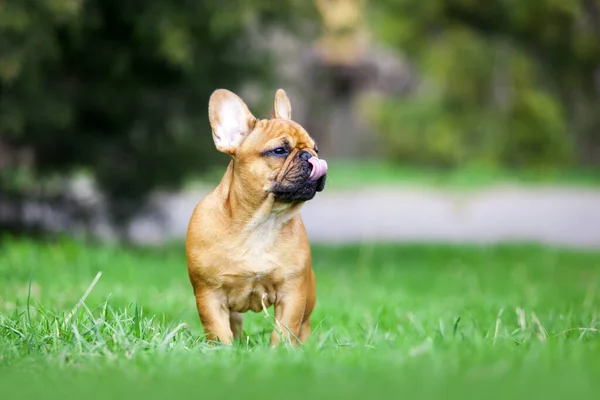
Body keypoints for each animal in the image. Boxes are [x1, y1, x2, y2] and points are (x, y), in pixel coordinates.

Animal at [186, 89, 328, 346]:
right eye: (280, 150)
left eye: (316, 148)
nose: (310, 155)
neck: (261, 221)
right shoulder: (209, 295)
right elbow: (218, 331)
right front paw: (224, 351)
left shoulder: (292, 293)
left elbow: (284, 330)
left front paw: (281, 351)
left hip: (308, 298)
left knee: (303, 326)